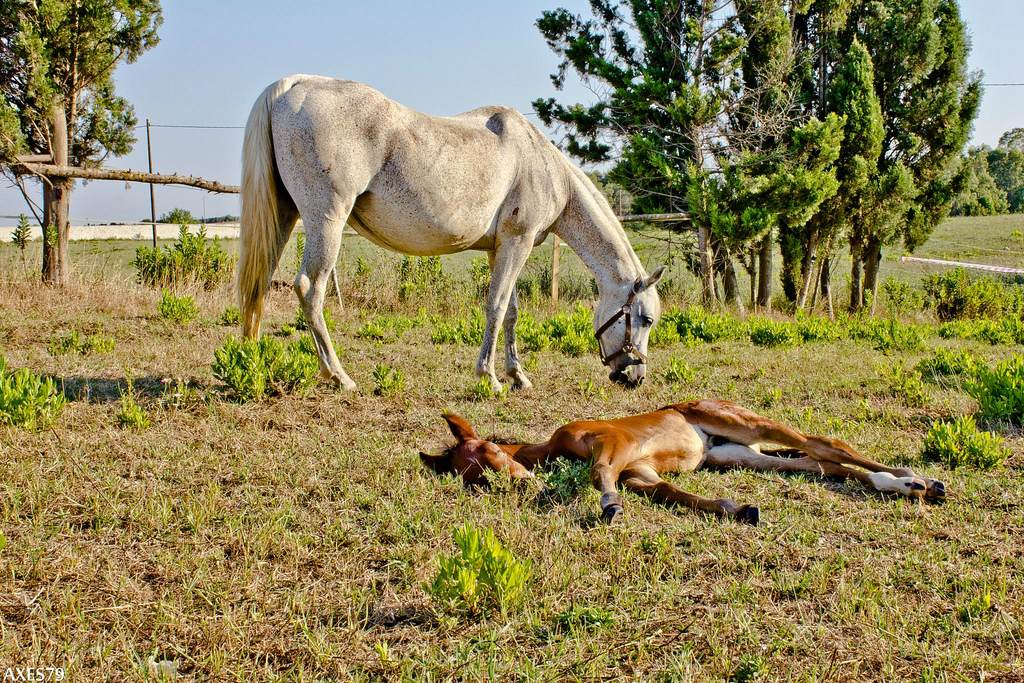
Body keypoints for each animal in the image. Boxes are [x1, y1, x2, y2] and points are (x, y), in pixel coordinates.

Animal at [237, 75, 666, 392]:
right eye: (646, 320)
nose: (635, 377)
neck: (543, 164)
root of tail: (293, 85)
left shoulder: (501, 248)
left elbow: (511, 312)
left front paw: (517, 376)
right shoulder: (518, 242)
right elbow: (496, 307)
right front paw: (489, 377)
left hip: (284, 218)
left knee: (259, 283)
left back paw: (250, 357)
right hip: (326, 221)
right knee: (311, 289)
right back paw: (339, 376)